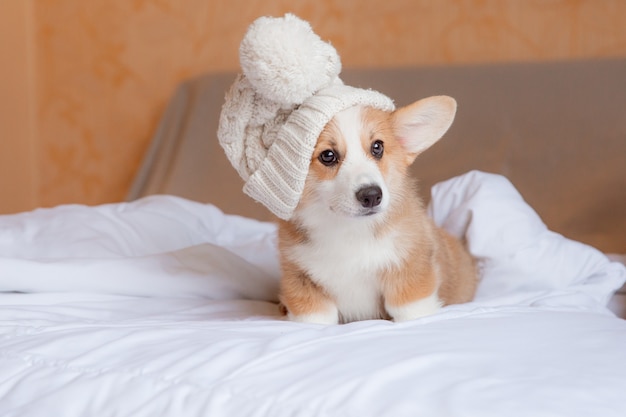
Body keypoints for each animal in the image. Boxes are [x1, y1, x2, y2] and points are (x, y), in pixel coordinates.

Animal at [276, 96, 476, 324]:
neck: (349, 231)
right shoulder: (304, 286)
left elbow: (411, 314)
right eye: (328, 155)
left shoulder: (410, 281)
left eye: (377, 147)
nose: (371, 195)